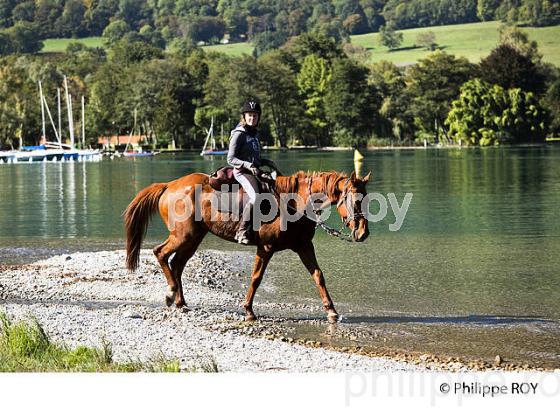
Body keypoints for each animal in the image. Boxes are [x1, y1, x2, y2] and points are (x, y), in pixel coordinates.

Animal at [123, 168, 370, 322]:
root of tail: (169, 185)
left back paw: (181, 302)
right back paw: (170, 293)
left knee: (177, 264)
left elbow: (318, 276)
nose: (363, 233)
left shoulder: (304, 246)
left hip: (194, 238)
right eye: (355, 200)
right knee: (161, 253)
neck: (292, 203)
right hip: (182, 235)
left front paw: (332, 312)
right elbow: (256, 278)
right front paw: (249, 310)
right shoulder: (266, 248)